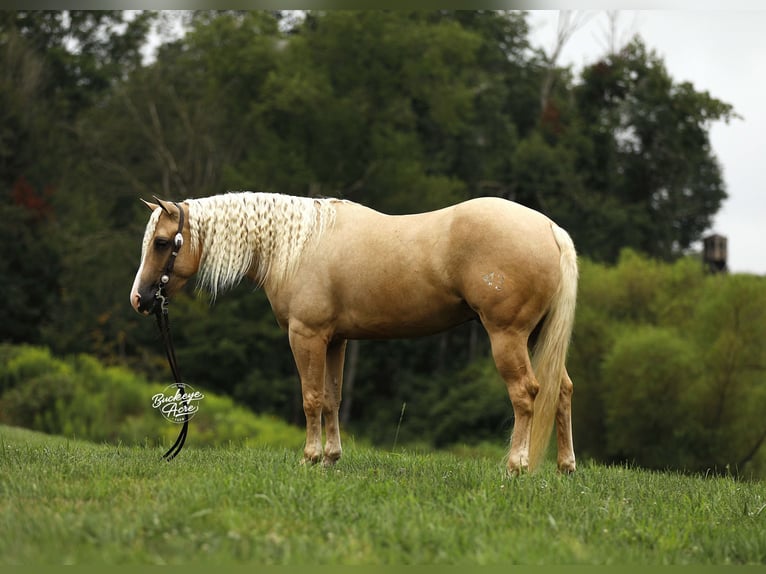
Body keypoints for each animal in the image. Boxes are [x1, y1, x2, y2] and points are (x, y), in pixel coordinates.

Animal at [130, 192, 578, 475]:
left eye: (162, 242)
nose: (140, 299)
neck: (298, 247)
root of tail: (551, 229)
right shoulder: (336, 340)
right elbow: (332, 398)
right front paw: (331, 457)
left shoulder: (306, 336)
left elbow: (311, 398)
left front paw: (310, 458)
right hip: (534, 336)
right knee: (561, 390)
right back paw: (565, 467)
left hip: (507, 335)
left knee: (526, 393)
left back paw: (516, 467)